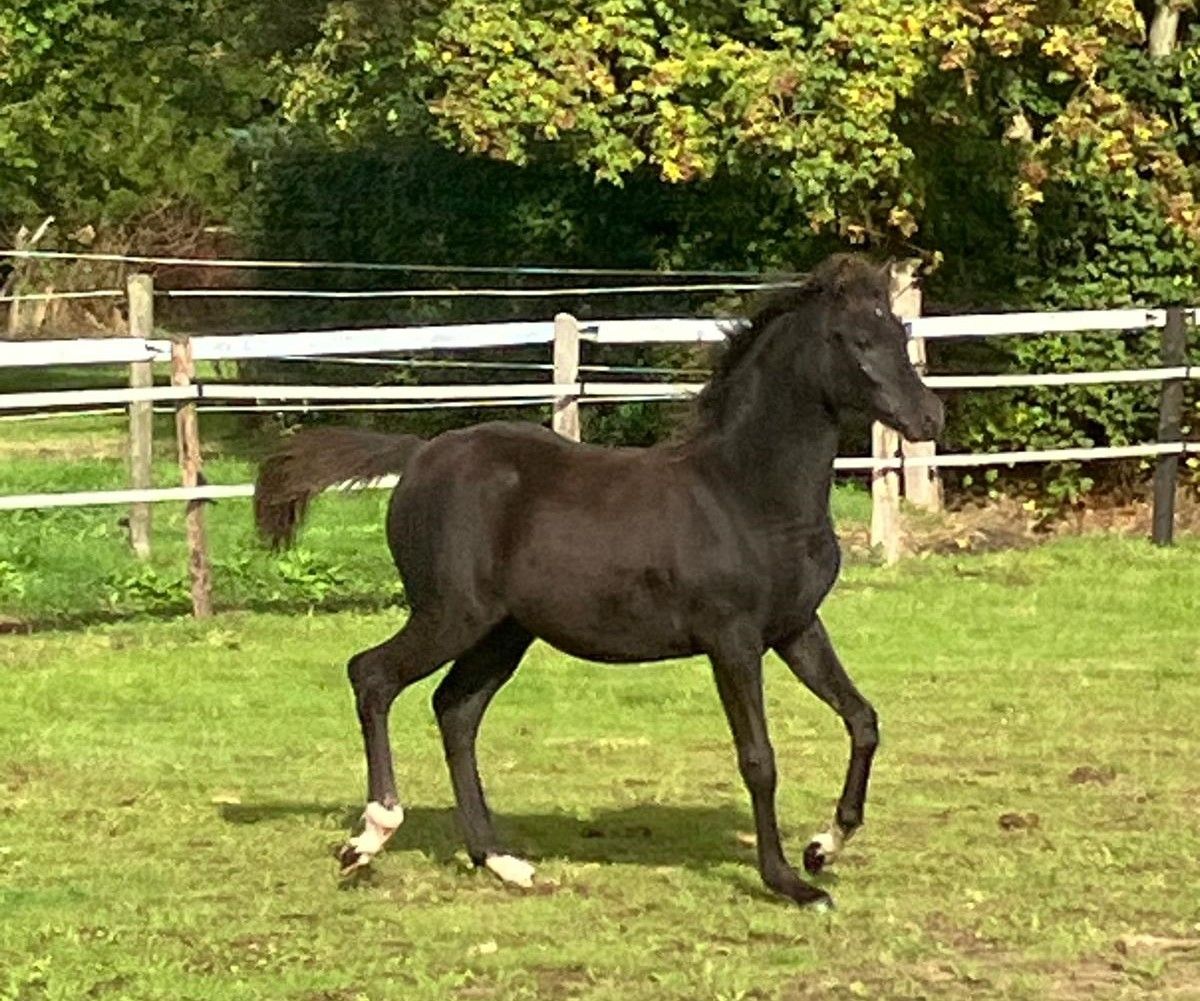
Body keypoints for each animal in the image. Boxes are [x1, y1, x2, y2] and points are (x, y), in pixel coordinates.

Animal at [253, 253, 944, 910]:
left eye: (901, 330)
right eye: (854, 339)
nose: (929, 416)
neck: (746, 492)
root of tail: (417, 455)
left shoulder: (796, 627)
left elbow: (862, 719)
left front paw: (824, 847)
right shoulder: (733, 640)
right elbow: (759, 759)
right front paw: (789, 883)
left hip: (504, 633)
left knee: (455, 711)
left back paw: (502, 862)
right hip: (451, 614)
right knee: (372, 675)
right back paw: (370, 835)